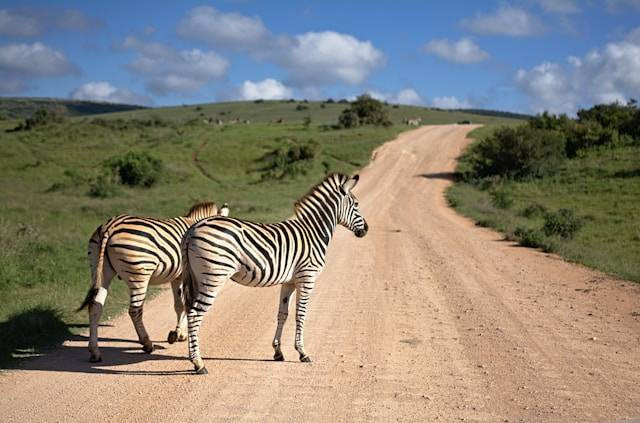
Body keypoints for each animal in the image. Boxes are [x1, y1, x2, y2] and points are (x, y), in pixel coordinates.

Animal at [77, 201, 230, 362]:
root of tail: (111, 225)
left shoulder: (177, 277)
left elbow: (179, 305)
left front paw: (178, 333)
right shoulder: (183, 275)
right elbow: (184, 305)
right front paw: (179, 334)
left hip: (100, 270)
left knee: (95, 306)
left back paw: (95, 351)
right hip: (139, 275)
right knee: (135, 310)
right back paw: (147, 343)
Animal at [182, 174, 368, 376]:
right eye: (356, 204)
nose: (366, 230)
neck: (313, 233)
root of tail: (193, 229)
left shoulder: (289, 282)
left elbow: (282, 314)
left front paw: (278, 352)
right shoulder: (307, 277)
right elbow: (301, 314)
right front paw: (302, 353)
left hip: (197, 278)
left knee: (189, 311)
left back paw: (194, 358)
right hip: (213, 276)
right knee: (195, 314)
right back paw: (199, 363)